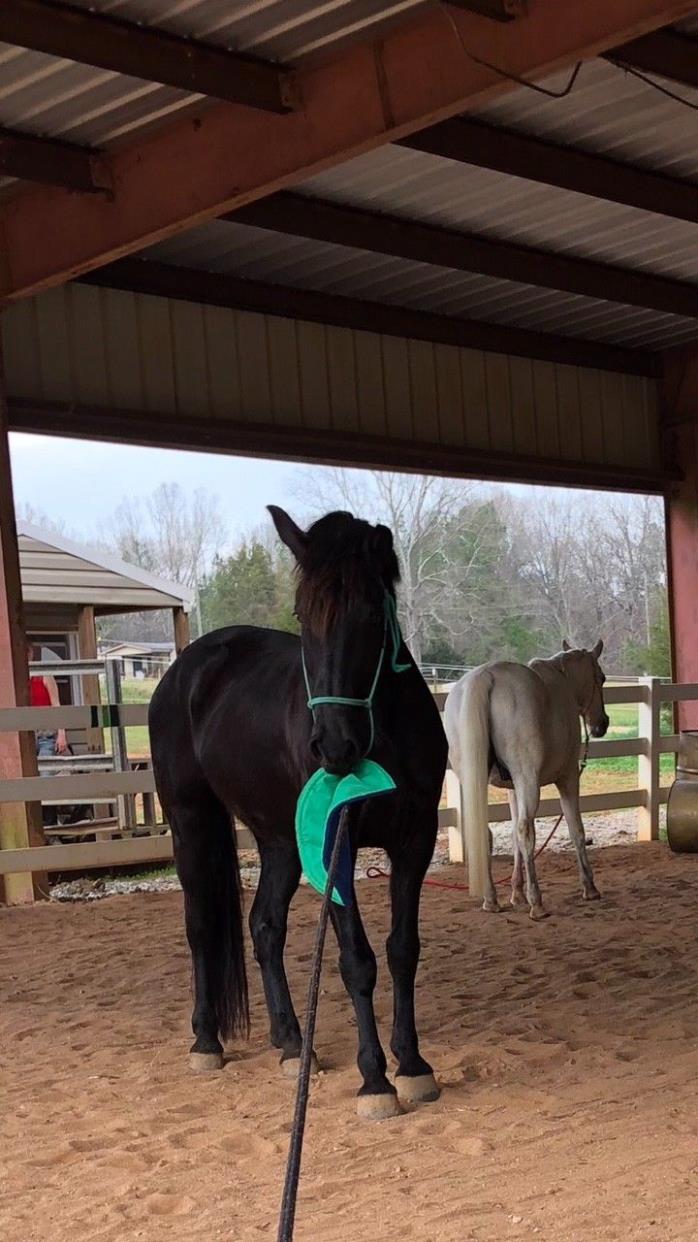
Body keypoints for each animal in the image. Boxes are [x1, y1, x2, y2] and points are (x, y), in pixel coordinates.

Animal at [149, 504, 447, 1117]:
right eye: (303, 614)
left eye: (370, 614)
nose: (333, 745)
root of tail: (185, 669)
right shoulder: (336, 848)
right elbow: (357, 961)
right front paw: (375, 1079)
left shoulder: (416, 839)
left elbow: (402, 950)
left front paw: (412, 1065)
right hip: (192, 823)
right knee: (201, 925)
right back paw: (206, 1040)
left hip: (281, 842)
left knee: (264, 927)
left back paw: (291, 1043)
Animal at [442, 645, 606, 919]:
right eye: (601, 678)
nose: (602, 724)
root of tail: (486, 677)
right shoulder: (568, 778)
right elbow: (576, 829)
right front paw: (590, 887)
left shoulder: (512, 790)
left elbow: (513, 838)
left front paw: (516, 893)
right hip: (528, 780)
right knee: (526, 831)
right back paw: (536, 902)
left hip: (475, 782)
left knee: (486, 833)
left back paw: (491, 899)